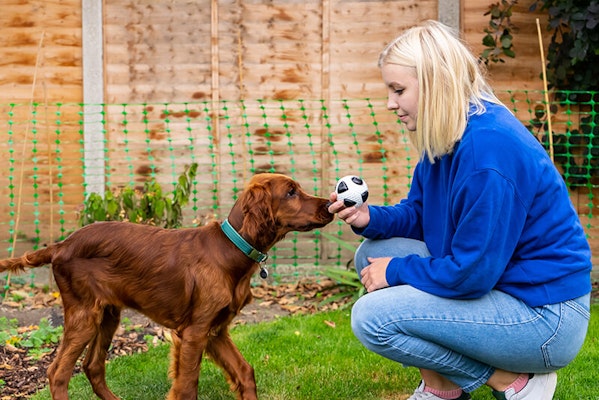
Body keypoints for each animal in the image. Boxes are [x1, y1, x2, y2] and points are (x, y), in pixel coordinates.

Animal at [0, 174, 336, 400]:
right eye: (291, 192)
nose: (330, 206)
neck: (230, 250)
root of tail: (61, 245)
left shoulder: (215, 331)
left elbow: (245, 372)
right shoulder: (195, 332)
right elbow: (187, 386)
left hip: (108, 314)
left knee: (93, 367)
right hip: (84, 314)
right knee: (57, 373)